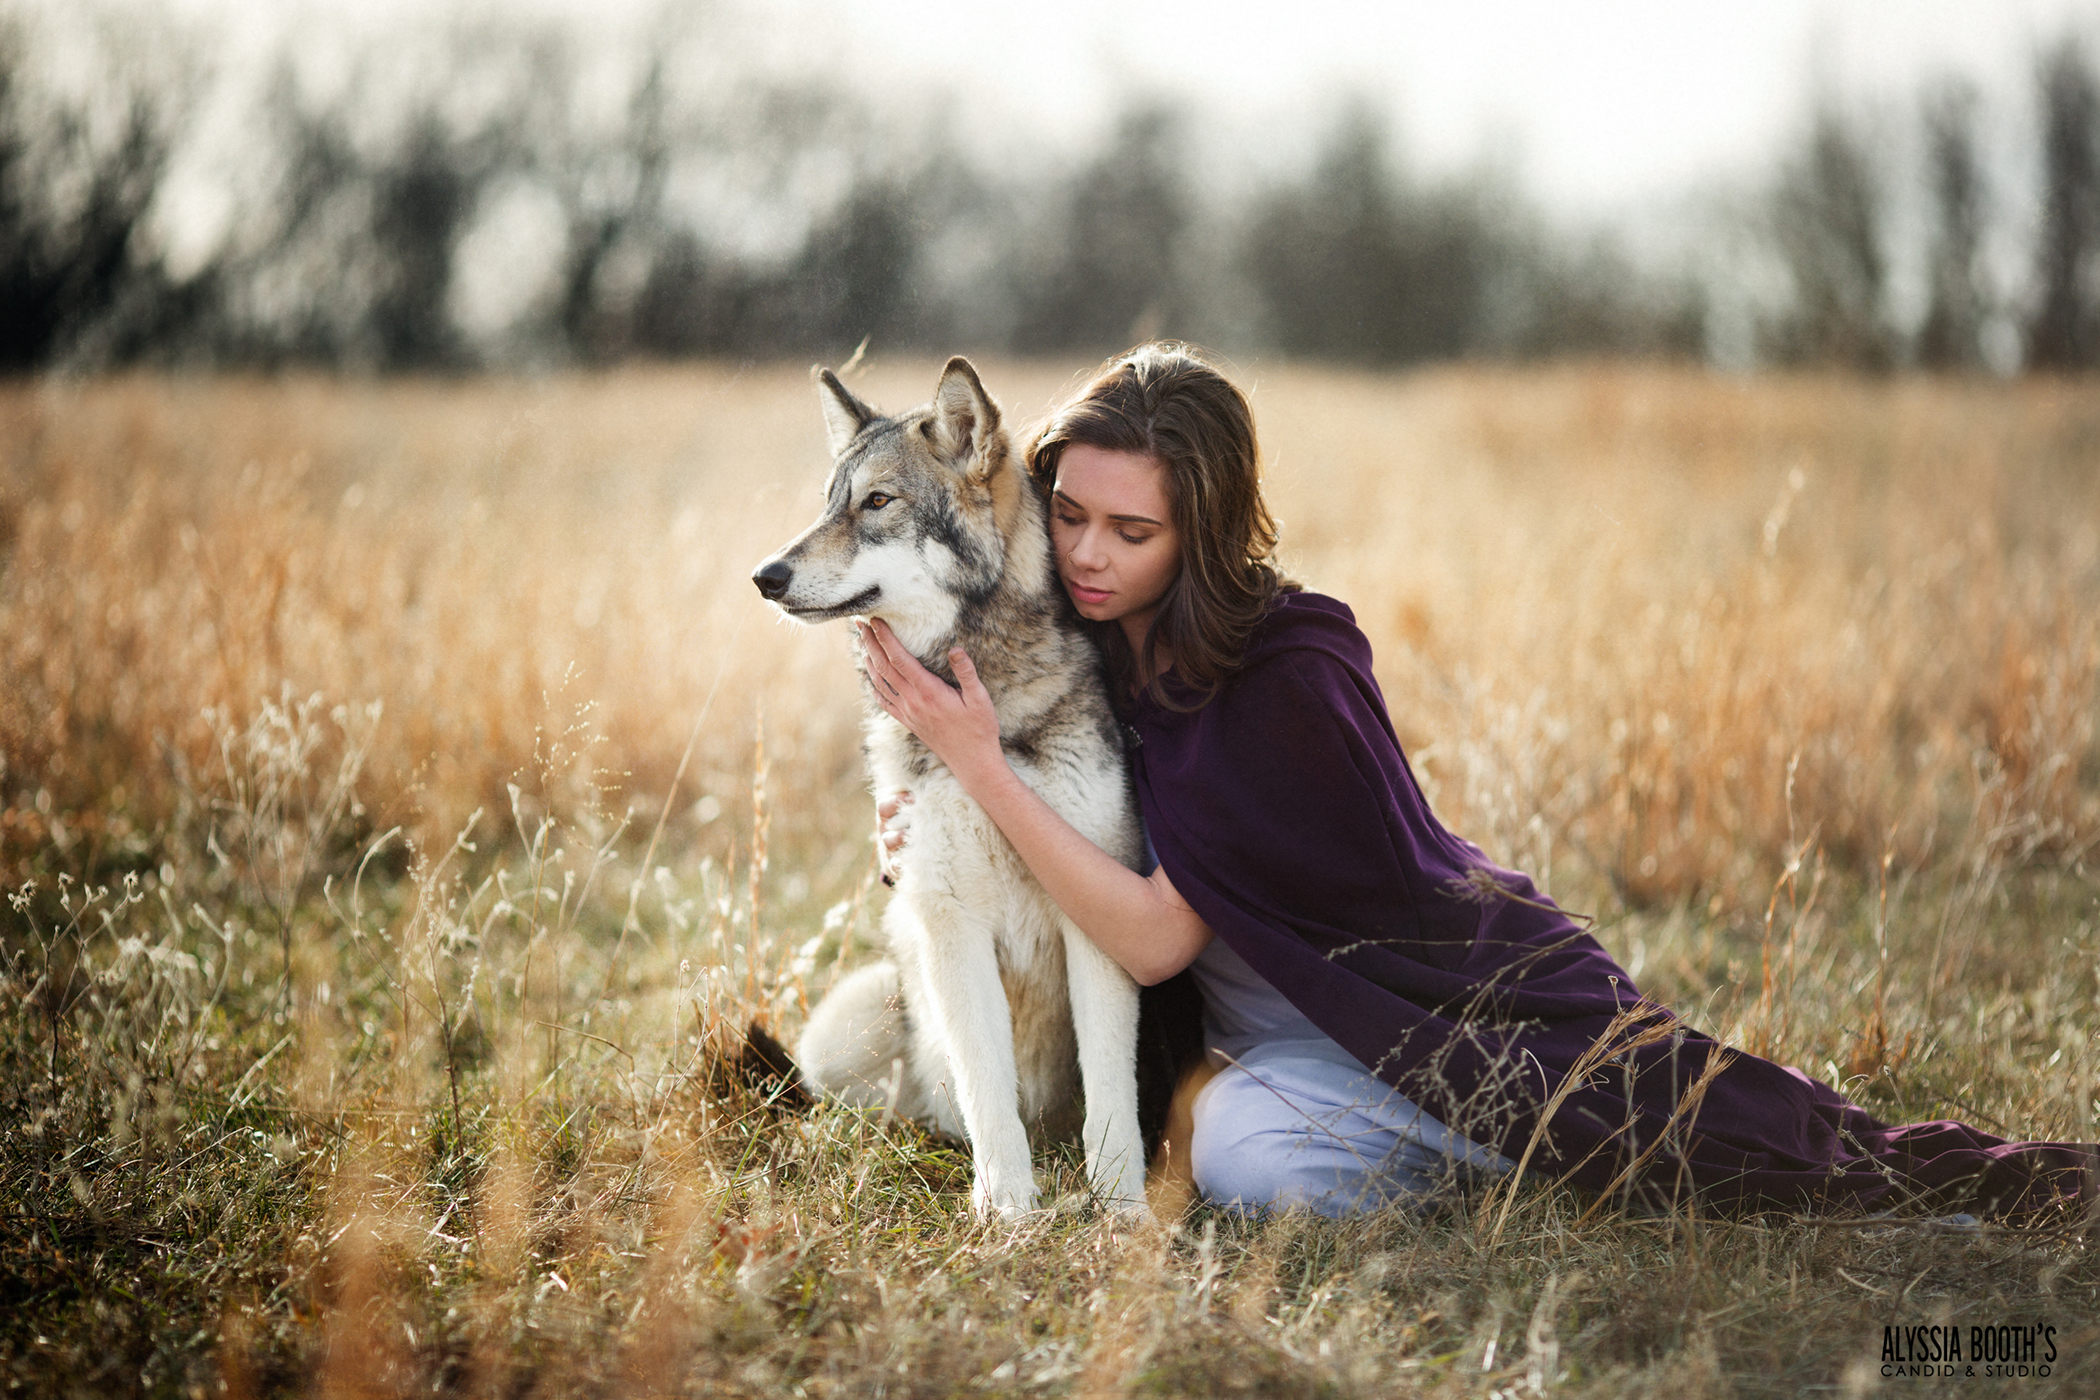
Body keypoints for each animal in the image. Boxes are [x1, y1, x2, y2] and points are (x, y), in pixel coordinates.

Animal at [751, 358, 1150, 1217]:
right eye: (828, 501)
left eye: (877, 502)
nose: (765, 576)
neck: (986, 700)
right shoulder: (946, 916)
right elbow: (987, 1084)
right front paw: (1009, 1212)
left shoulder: (1097, 918)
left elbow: (1111, 1088)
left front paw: (1124, 1209)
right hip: (854, 1014)